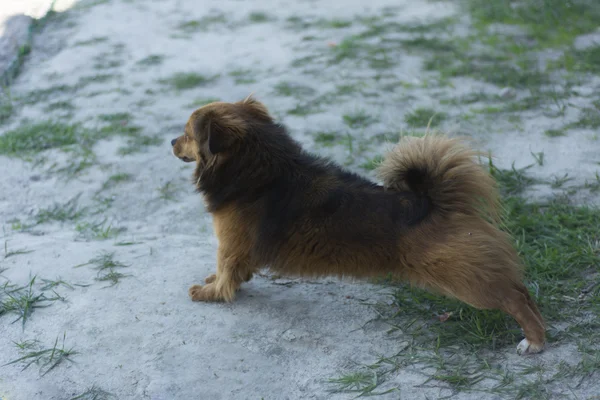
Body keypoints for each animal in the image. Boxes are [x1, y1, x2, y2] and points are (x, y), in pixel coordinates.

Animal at [171, 97, 548, 356]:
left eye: (187, 134)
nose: (171, 142)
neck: (258, 169)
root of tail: (432, 202)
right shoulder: (239, 251)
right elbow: (232, 273)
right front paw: (215, 284)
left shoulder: (230, 245)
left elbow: (225, 273)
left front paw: (209, 293)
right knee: (521, 289)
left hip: (461, 278)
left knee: (513, 298)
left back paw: (533, 341)